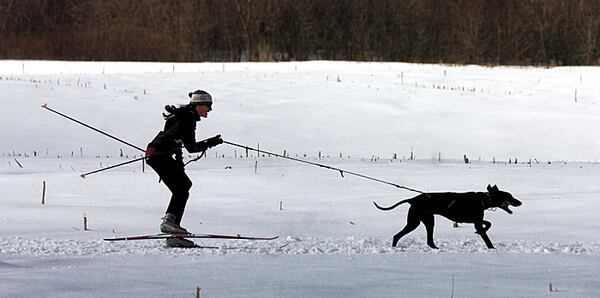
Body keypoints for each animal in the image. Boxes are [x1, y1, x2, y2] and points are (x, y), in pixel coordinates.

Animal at [376, 185, 520, 248]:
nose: (520, 202)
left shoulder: (475, 220)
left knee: (429, 241)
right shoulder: (476, 221)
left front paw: (480, 231)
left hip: (428, 220)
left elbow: (488, 223)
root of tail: (413, 199)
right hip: (414, 221)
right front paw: (491, 248)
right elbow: (487, 238)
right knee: (396, 236)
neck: (483, 200)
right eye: (509, 196)